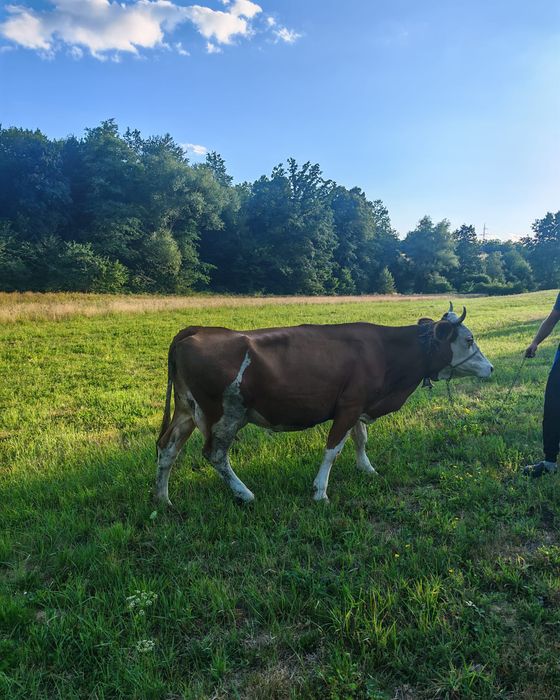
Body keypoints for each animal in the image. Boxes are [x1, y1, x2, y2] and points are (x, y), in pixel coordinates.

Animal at [155, 303, 493, 505]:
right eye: (468, 340)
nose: (490, 368)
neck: (386, 353)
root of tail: (197, 330)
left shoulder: (357, 405)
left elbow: (360, 438)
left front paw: (367, 468)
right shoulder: (349, 406)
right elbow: (333, 450)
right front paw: (320, 491)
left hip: (187, 410)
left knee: (167, 448)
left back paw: (162, 498)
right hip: (225, 414)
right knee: (215, 454)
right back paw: (245, 493)